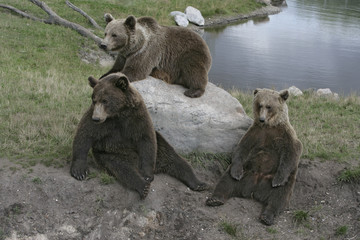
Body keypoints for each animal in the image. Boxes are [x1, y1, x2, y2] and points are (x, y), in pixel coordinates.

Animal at [69, 72, 208, 199]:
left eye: (105, 100)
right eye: (94, 99)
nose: (96, 118)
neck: (119, 113)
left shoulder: (137, 116)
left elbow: (146, 138)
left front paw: (147, 174)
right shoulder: (104, 123)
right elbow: (84, 134)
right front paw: (79, 171)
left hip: (159, 147)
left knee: (174, 159)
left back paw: (198, 183)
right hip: (111, 154)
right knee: (123, 169)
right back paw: (143, 186)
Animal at [205, 87, 300, 225]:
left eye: (269, 106)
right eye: (260, 104)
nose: (261, 119)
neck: (269, 125)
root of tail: (254, 191)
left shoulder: (284, 134)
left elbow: (292, 152)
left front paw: (278, 179)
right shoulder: (255, 133)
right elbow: (241, 148)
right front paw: (236, 172)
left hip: (281, 181)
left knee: (279, 196)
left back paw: (267, 216)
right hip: (246, 172)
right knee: (226, 181)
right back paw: (215, 199)